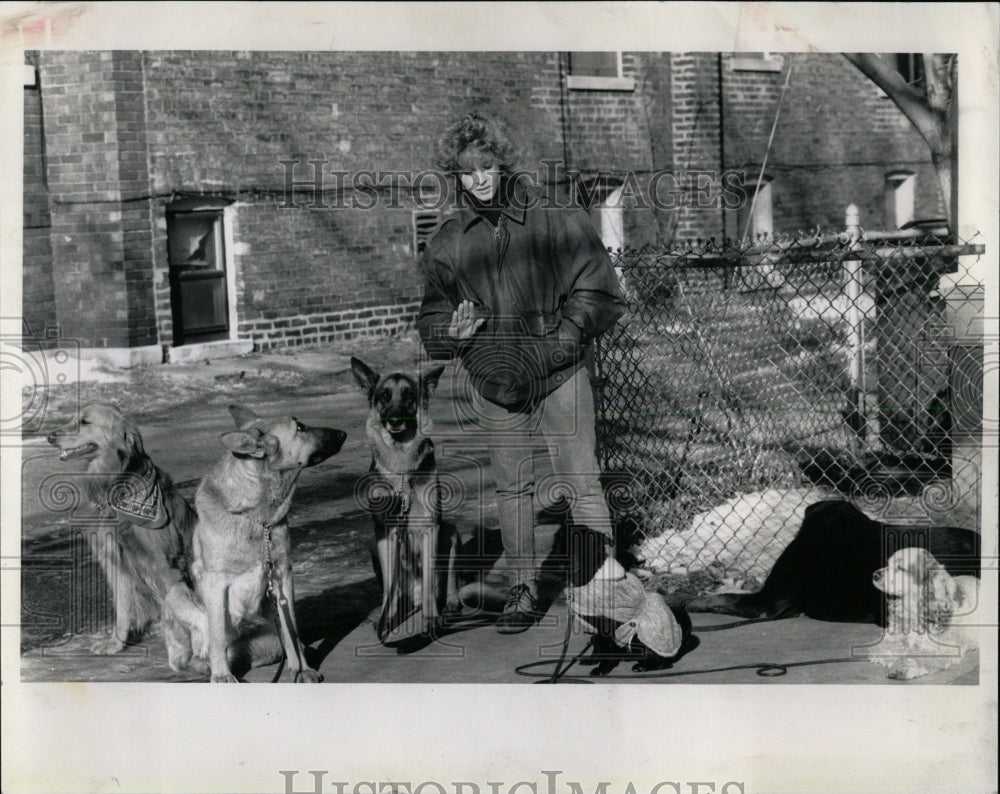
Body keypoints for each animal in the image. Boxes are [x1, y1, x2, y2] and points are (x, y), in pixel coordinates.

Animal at [46, 402, 201, 656]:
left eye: (85, 422)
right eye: (71, 418)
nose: (49, 437)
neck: (113, 491)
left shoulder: (163, 563)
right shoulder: (115, 560)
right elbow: (123, 606)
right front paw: (115, 643)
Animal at [186, 406, 346, 676]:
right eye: (300, 427)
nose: (344, 433)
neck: (256, 519)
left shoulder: (282, 573)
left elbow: (291, 629)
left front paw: (301, 670)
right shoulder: (215, 582)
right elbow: (217, 635)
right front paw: (222, 675)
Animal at [352, 358, 460, 644]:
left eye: (410, 396)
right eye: (384, 396)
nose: (395, 421)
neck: (401, 469)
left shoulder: (430, 527)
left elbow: (432, 579)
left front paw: (432, 620)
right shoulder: (385, 532)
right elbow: (389, 584)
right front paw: (387, 619)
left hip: (451, 531)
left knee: (449, 576)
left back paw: (451, 603)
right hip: (374, 545)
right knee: (396, 589)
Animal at [872, 548, 980, 676]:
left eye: (900, 568)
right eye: (888, 564)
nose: (875, 575)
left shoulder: (941, 647)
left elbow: (920, 656)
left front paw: (904, 667)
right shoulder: (893, 637)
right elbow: (891, 646)